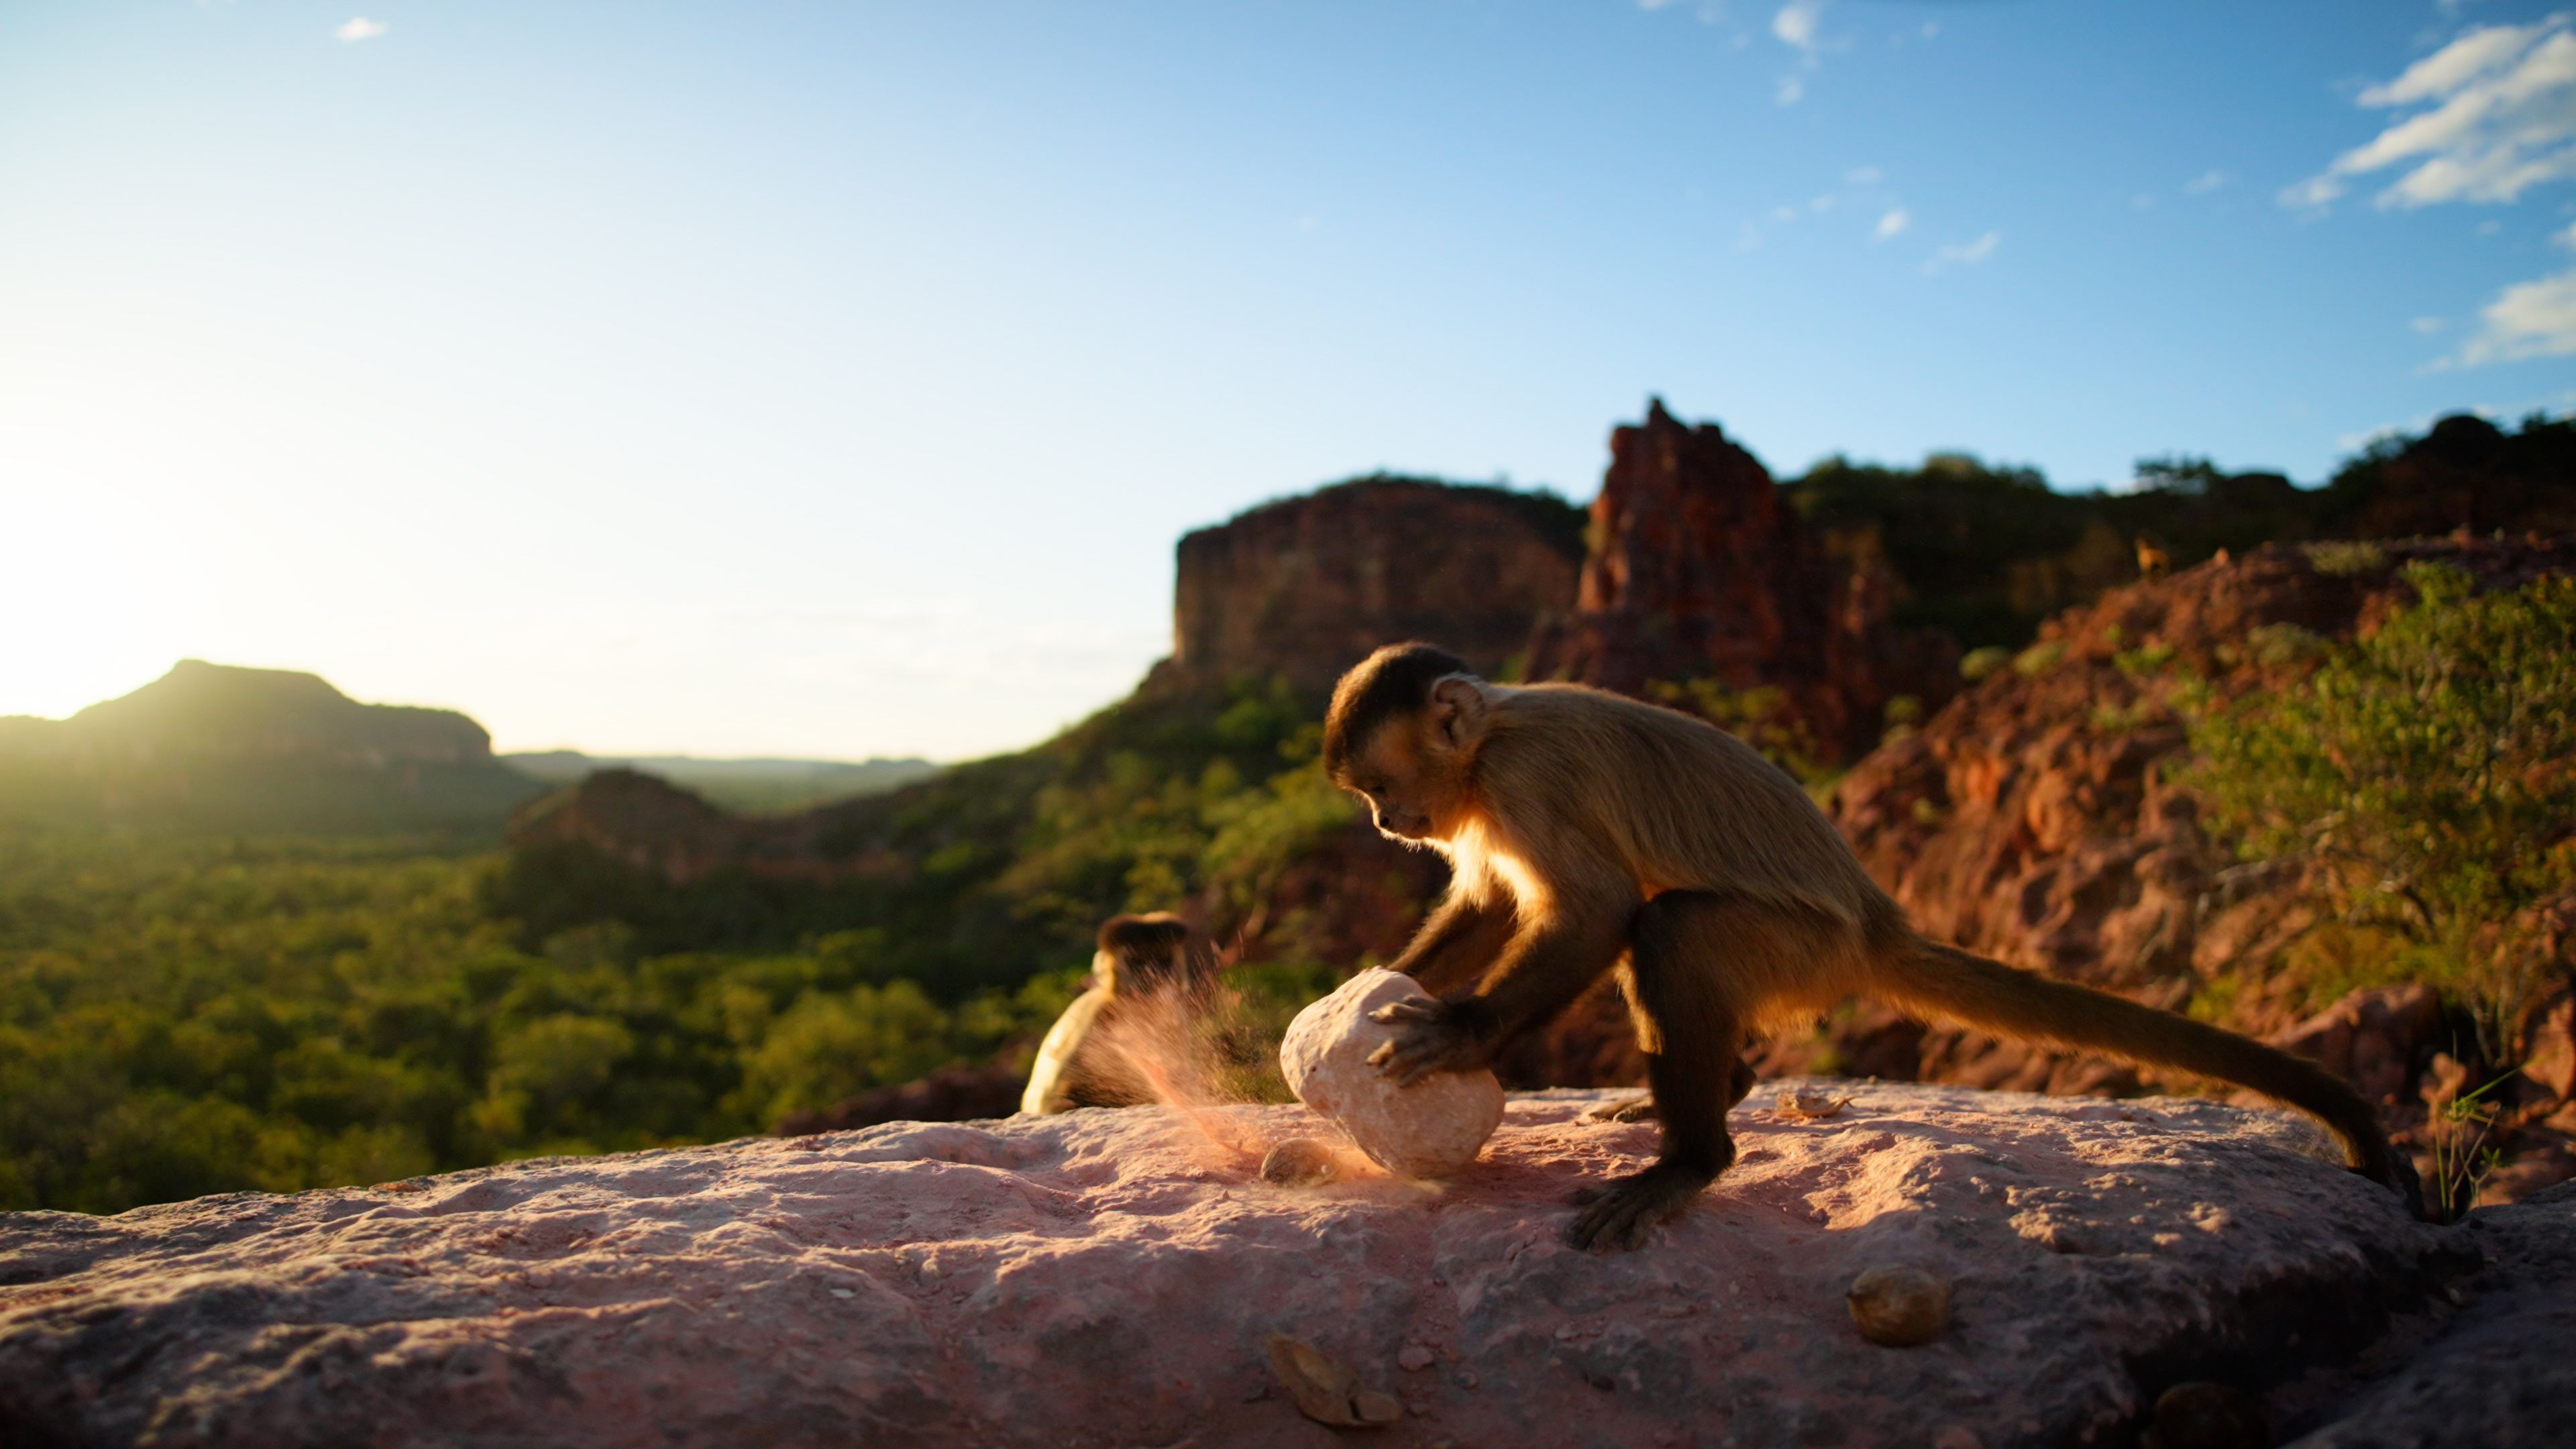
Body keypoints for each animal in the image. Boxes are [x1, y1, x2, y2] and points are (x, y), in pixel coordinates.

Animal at [1322, 641, 2425, 1251]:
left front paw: (1460, 1034)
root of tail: (1873, 919)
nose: (1384, 823)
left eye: (1378, 788)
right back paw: (1718, 1091)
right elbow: (1487, 905)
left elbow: (1593, 912)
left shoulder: (1525, 777)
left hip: (1805, 947)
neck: (1487, 742)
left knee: (1670, 928)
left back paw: (1695, 1158)